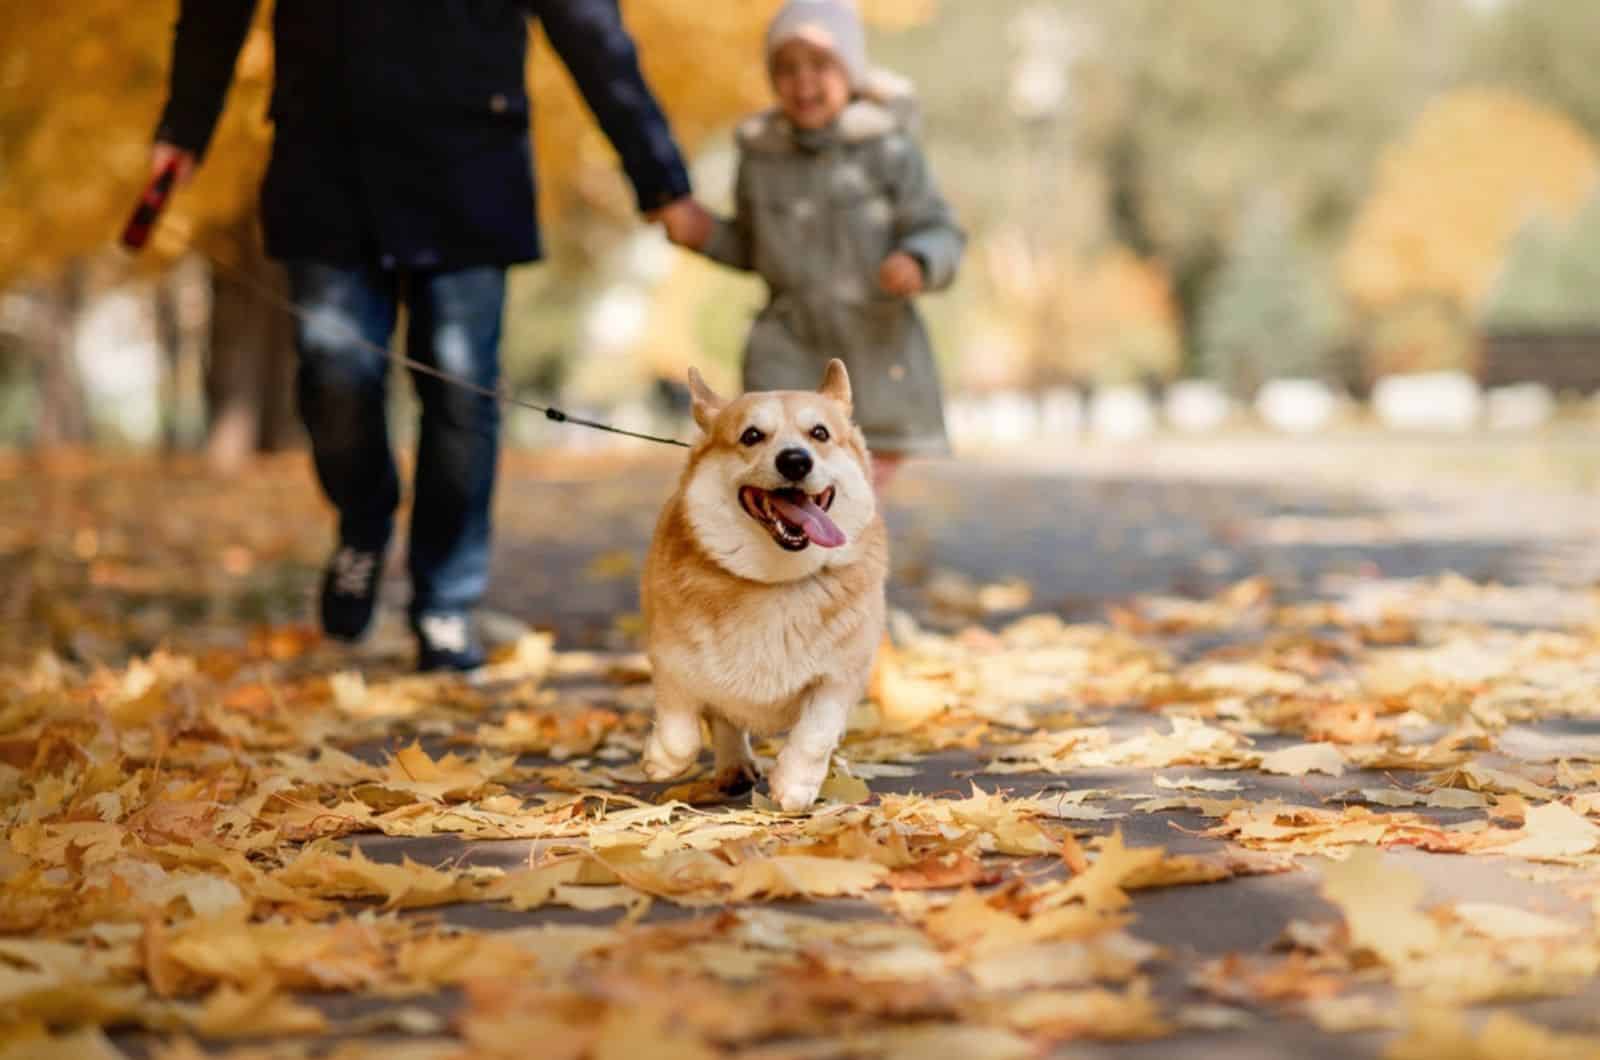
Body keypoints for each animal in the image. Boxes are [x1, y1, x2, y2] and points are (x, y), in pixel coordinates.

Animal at [636, 361, 889, 810]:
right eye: (752, 435)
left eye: (820, 433)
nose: (795, 461)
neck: (776, 581)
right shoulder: (671, 661)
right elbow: (681, 730)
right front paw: (660, 760)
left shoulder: (841, 676)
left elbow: (816, 732)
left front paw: (794, 785)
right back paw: (733, 766)